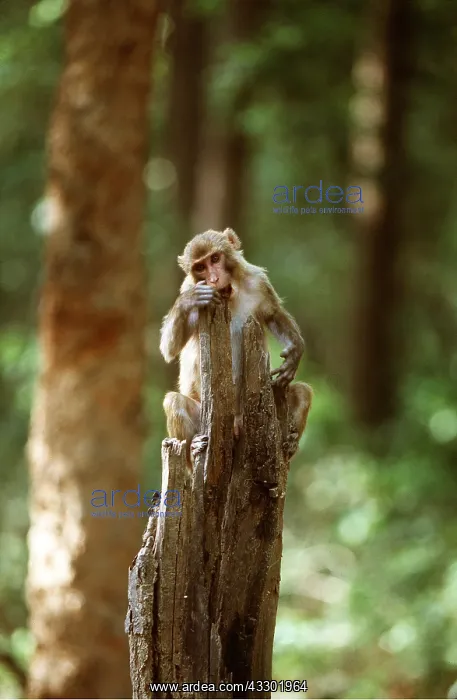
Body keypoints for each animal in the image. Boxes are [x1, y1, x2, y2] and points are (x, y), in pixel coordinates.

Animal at [159, 227, 313, 466]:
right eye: (200, 267)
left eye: (215, 258)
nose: (213, 278)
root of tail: (237, 425)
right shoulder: (188, 285)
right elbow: (168, 348)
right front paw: (189, 299)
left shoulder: (258, 281)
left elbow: (273, 313)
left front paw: (294, 353)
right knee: (174, 401)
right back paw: (193, 452)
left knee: (302, 391)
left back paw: (290, 443)